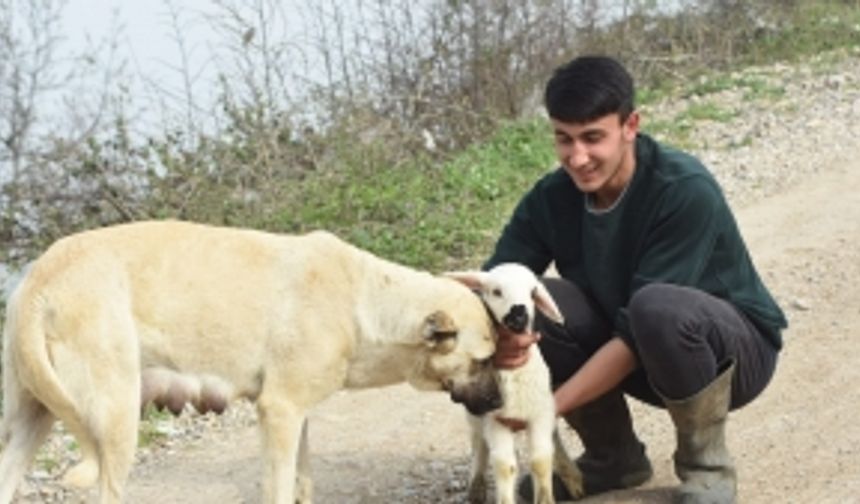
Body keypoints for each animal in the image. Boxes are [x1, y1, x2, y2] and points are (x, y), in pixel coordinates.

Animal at [0, 220, 500, 504]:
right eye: (483, 360)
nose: (498, 402)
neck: (365, 302)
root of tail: (40, 278)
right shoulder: (279, 412)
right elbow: (277, 489)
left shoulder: (297, 418)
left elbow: (303, 484)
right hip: (117, 424)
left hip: (32, 419)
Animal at [444, 264, 584, 504]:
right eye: (496, 291)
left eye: (532, 292)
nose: (519, 317)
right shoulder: (495, 420)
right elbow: (504, 467)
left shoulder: (540, 414)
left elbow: (540, 461)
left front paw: (546, 498)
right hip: (475, 414)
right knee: (478, 443)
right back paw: (476, 487)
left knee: (554, 439)